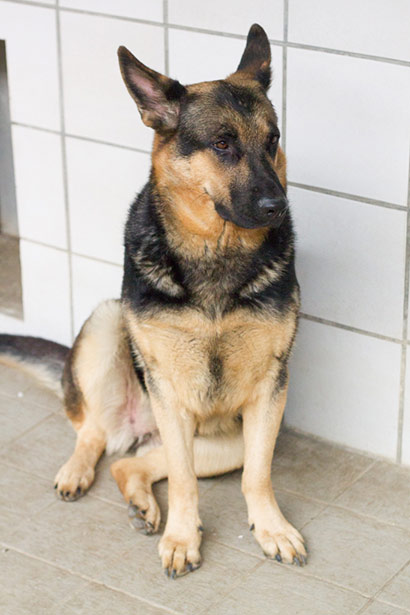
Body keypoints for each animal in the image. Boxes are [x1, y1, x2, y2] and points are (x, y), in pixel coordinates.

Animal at [0, 24, 306, 577]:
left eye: (272, 141)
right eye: (223, 144)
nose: (278, 206)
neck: (216, 252)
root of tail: (139, 429)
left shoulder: (271, 388)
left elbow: (258, 474)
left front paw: (270, 528)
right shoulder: (168, 388)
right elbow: (183, 481)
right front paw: (183, 538)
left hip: (221, 445)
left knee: (129, 463)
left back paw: (142, 503)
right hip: (107, 326)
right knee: (95, 434)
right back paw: (77, 472)